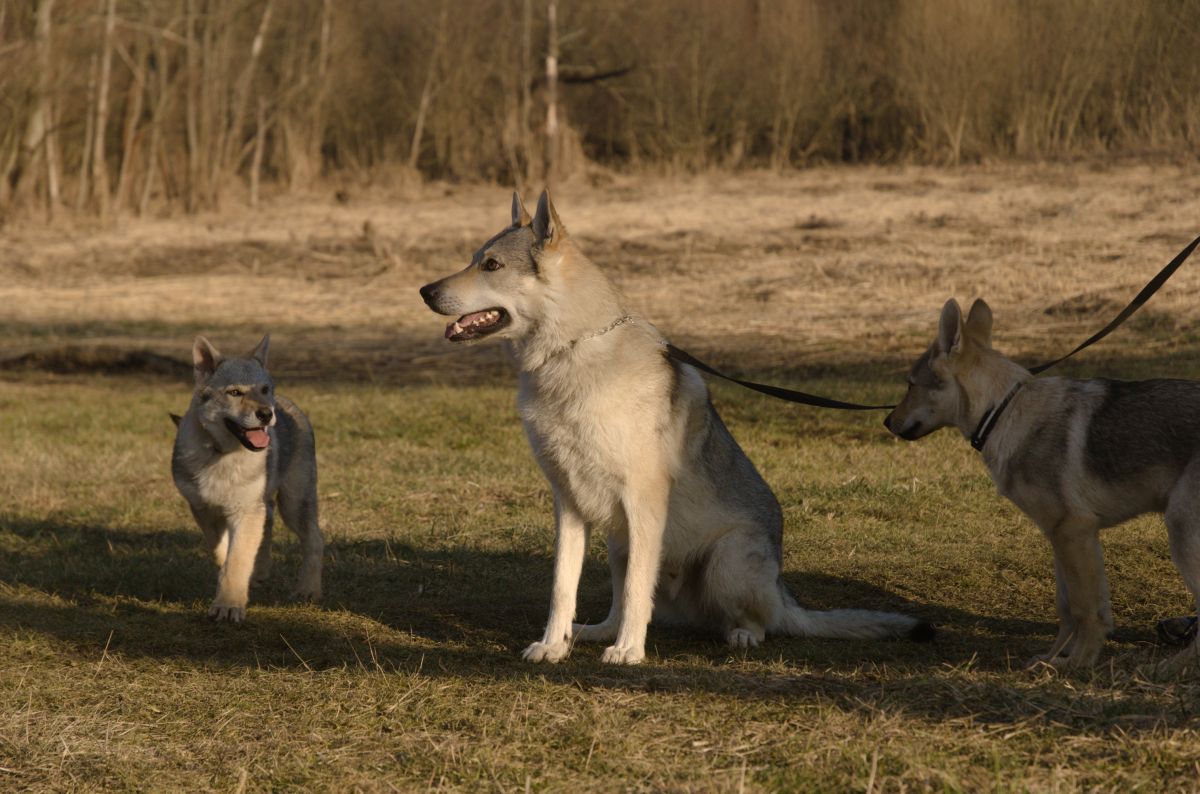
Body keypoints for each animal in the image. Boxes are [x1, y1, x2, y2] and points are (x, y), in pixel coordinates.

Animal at [171, 335, 324, 623]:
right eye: (235, 393)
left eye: (264, 389)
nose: (266, 414)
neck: (222, 456)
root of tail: (288, 403)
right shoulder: (202, 509)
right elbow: (220, 550)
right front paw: (236, 582)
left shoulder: (246, 511)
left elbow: (237, 558)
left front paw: (229, 605)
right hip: (271, 505)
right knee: (269, 524)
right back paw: (261, 572)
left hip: (294, 504)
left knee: (315, 539)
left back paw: (307, 590)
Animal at [888, 298, 1200, 671]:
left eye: (910, 384)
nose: (886, 421)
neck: (1002, 413)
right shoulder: (1067, 536)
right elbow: (1070, 609)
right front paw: (1055, 659)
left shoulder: (1073, 531)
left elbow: (1083, 610)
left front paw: (1076, 664)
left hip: (1180, 531)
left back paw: (1170, 667)